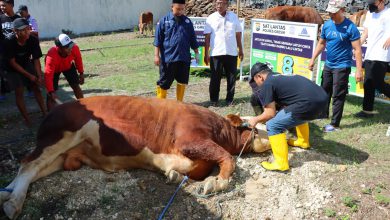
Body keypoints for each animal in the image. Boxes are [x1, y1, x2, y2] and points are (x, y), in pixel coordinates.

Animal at [0, 95, 268, 219]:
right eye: (260, 127)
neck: (218, 128)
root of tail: (55, 108)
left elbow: (197, 167)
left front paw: (174, 174)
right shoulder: (190, 138)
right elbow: (227, 158)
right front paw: (217, 182)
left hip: (61, 154)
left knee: (33, 170)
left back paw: (6, 194)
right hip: (62, 135)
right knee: (28, 165)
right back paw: (13, 204)